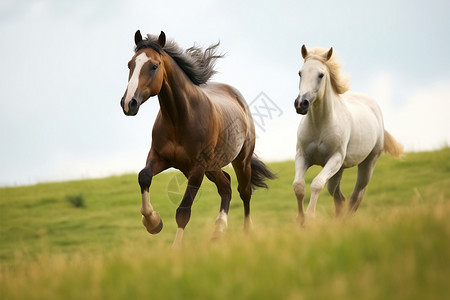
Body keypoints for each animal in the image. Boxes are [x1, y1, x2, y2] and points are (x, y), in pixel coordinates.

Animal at [119, 31, 274, 246]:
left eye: (154, 66)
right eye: (130, 64)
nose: (128, 103)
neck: (180, 118)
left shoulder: (197, 168)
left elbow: (183, 212)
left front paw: (175, 249)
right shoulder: (160, 157)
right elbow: (144, 177)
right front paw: (153, 223)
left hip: (240, 161)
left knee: (244, 192)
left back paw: (246, 233)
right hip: (211, 167)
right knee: (225, 186)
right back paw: (218, 231)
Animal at [294, 45, 402, 225]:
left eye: (321, 75)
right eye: (300, 73)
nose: (301, 104)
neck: (320, 125)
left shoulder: (335, 158)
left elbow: (316, 184)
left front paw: (310, 218)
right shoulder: (303, 156)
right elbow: (299, 186)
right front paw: (301, 221)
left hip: (367, 164)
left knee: (356, 196)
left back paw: (347, 222)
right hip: (338, 171)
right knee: (339, 197)